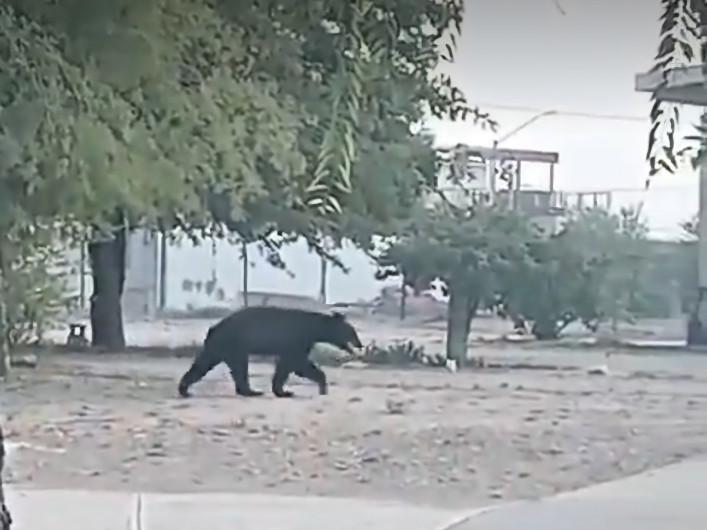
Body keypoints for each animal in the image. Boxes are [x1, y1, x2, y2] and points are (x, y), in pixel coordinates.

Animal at [177, 306, 363, 398]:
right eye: (352, 332)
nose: (360, 344)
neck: (313, 328)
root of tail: (214, 328)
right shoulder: (296, 339)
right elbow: (297, 363)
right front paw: (321, 386)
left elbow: (287, 365)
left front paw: (282, 390)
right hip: (233, 343)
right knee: (238, 366)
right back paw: (252, 391)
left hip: (222, 347)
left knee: (205, 363)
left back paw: (184, 388)